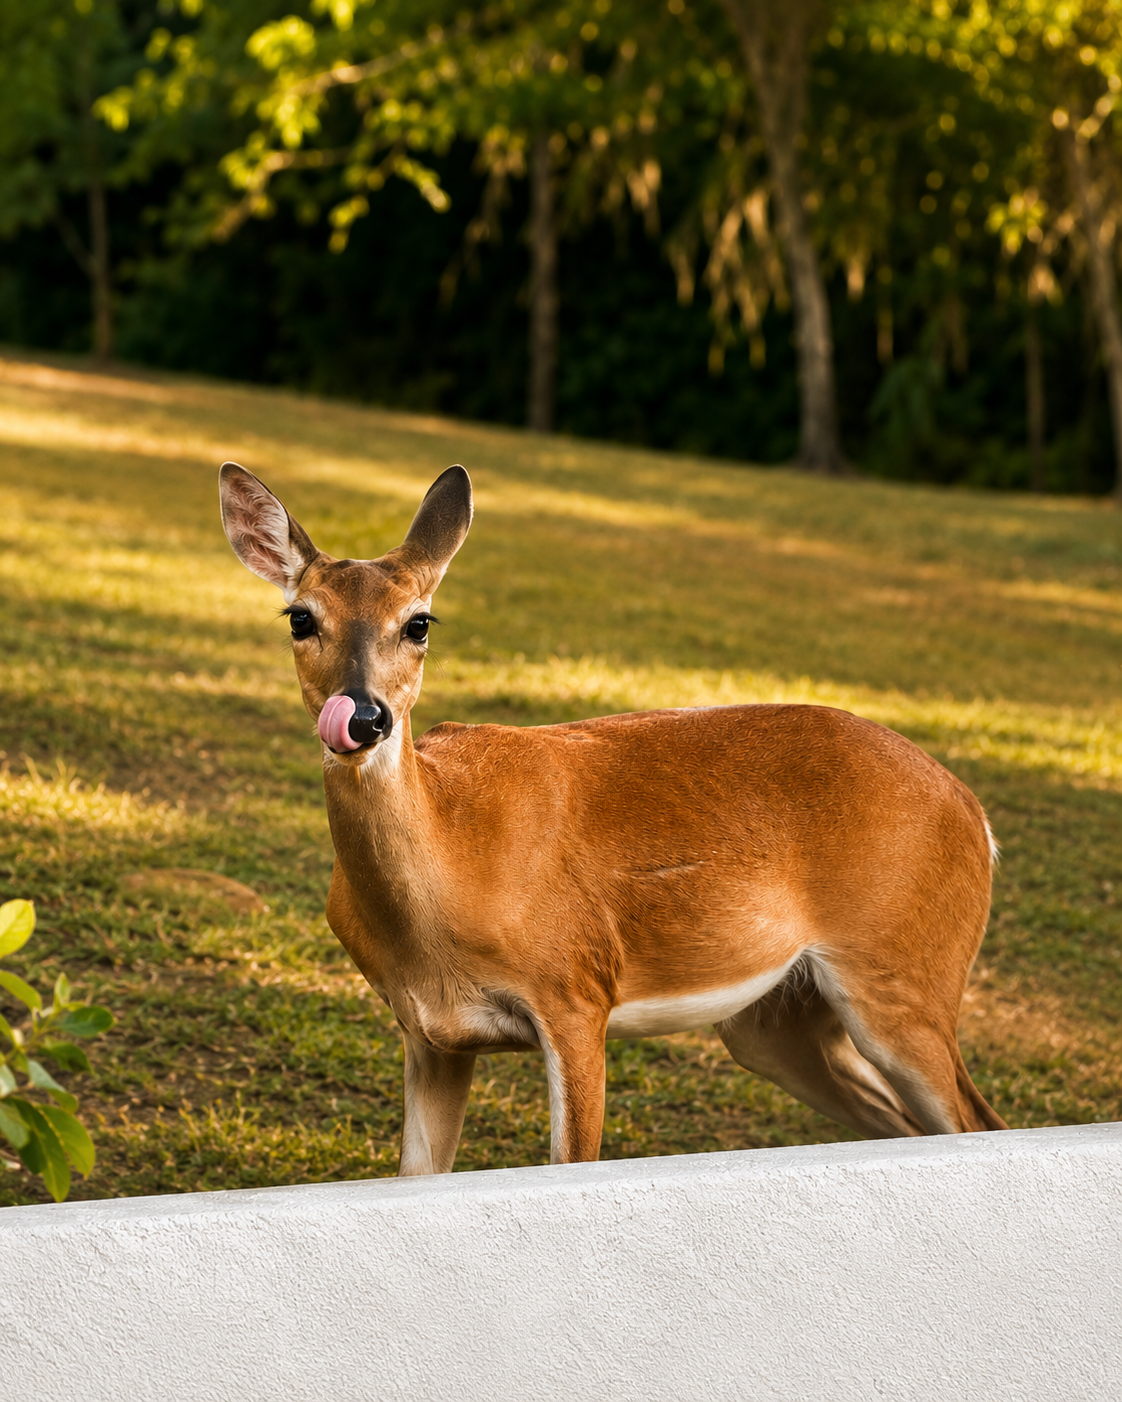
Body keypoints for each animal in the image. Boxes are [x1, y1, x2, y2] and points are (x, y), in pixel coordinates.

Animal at [219, 460, 1008, 1175]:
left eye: (419, 623)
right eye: (301, 618)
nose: (363, 715)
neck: (453, 868)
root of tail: (975, 814)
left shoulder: (575, 991)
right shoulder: (431, 1033)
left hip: (902, 972)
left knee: (978, 1120)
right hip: (778, 1021)